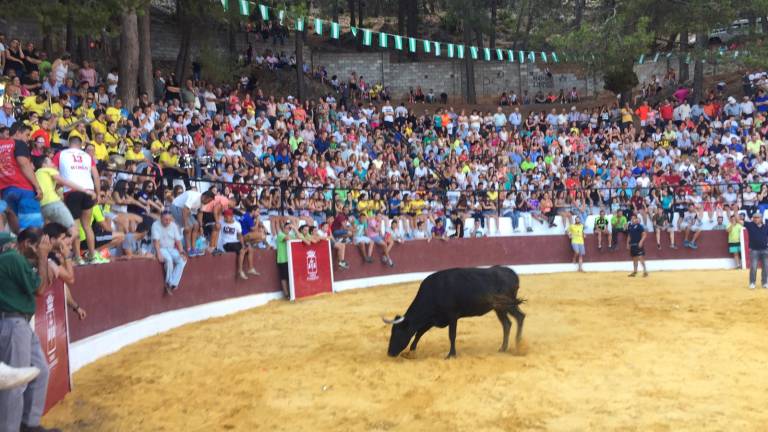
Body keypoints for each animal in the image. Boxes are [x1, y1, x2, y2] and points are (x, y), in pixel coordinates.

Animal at [382, 266, 524, 358]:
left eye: (397, 333)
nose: (389, 353)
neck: (434, 292)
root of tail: (513, 274)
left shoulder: (452, 316)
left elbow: (452, 335)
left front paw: (451, 354)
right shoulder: (433, 319)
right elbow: (419, 333)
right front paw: (410, 352)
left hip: (508, 304)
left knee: (520, 317)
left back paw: (519, 346)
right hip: (499, 308)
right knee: (507, 324)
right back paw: (503, 348)